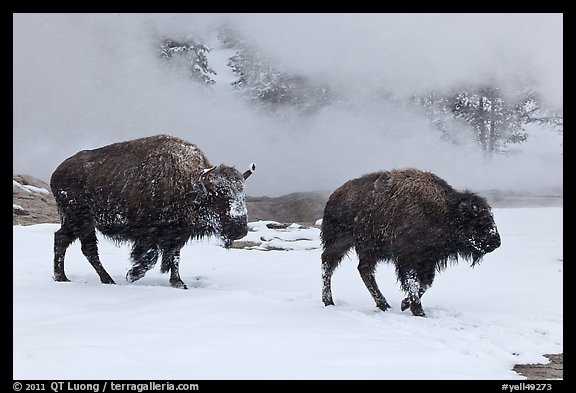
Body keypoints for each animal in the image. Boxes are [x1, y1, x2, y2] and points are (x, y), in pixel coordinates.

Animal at [48, 135, 255, 288]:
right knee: (73, 243)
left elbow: (174, 258)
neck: (188, 183)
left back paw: (88, 278)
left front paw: (179, 283)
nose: (240, 230)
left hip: (81, 224)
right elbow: (152, 256)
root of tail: (57, 172)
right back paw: (75, 278)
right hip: (79, 220)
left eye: (242, 194)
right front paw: (132, 274)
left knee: (74, 243)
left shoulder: (177, 235)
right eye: (218, 195)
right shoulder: (148, 234)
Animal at [320, 167, 500, 314]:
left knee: (364, 270)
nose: (496, 242)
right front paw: (418, 310)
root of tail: (335, 195)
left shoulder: (427, 260)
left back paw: (384, 304)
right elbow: (413, 282)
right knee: (328, 264)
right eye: (479, 221)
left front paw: (405, 304)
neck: (445, 211)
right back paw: (329, 301)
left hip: (369, 250)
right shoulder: (409, 258)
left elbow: (426, 283)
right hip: (340, 242)